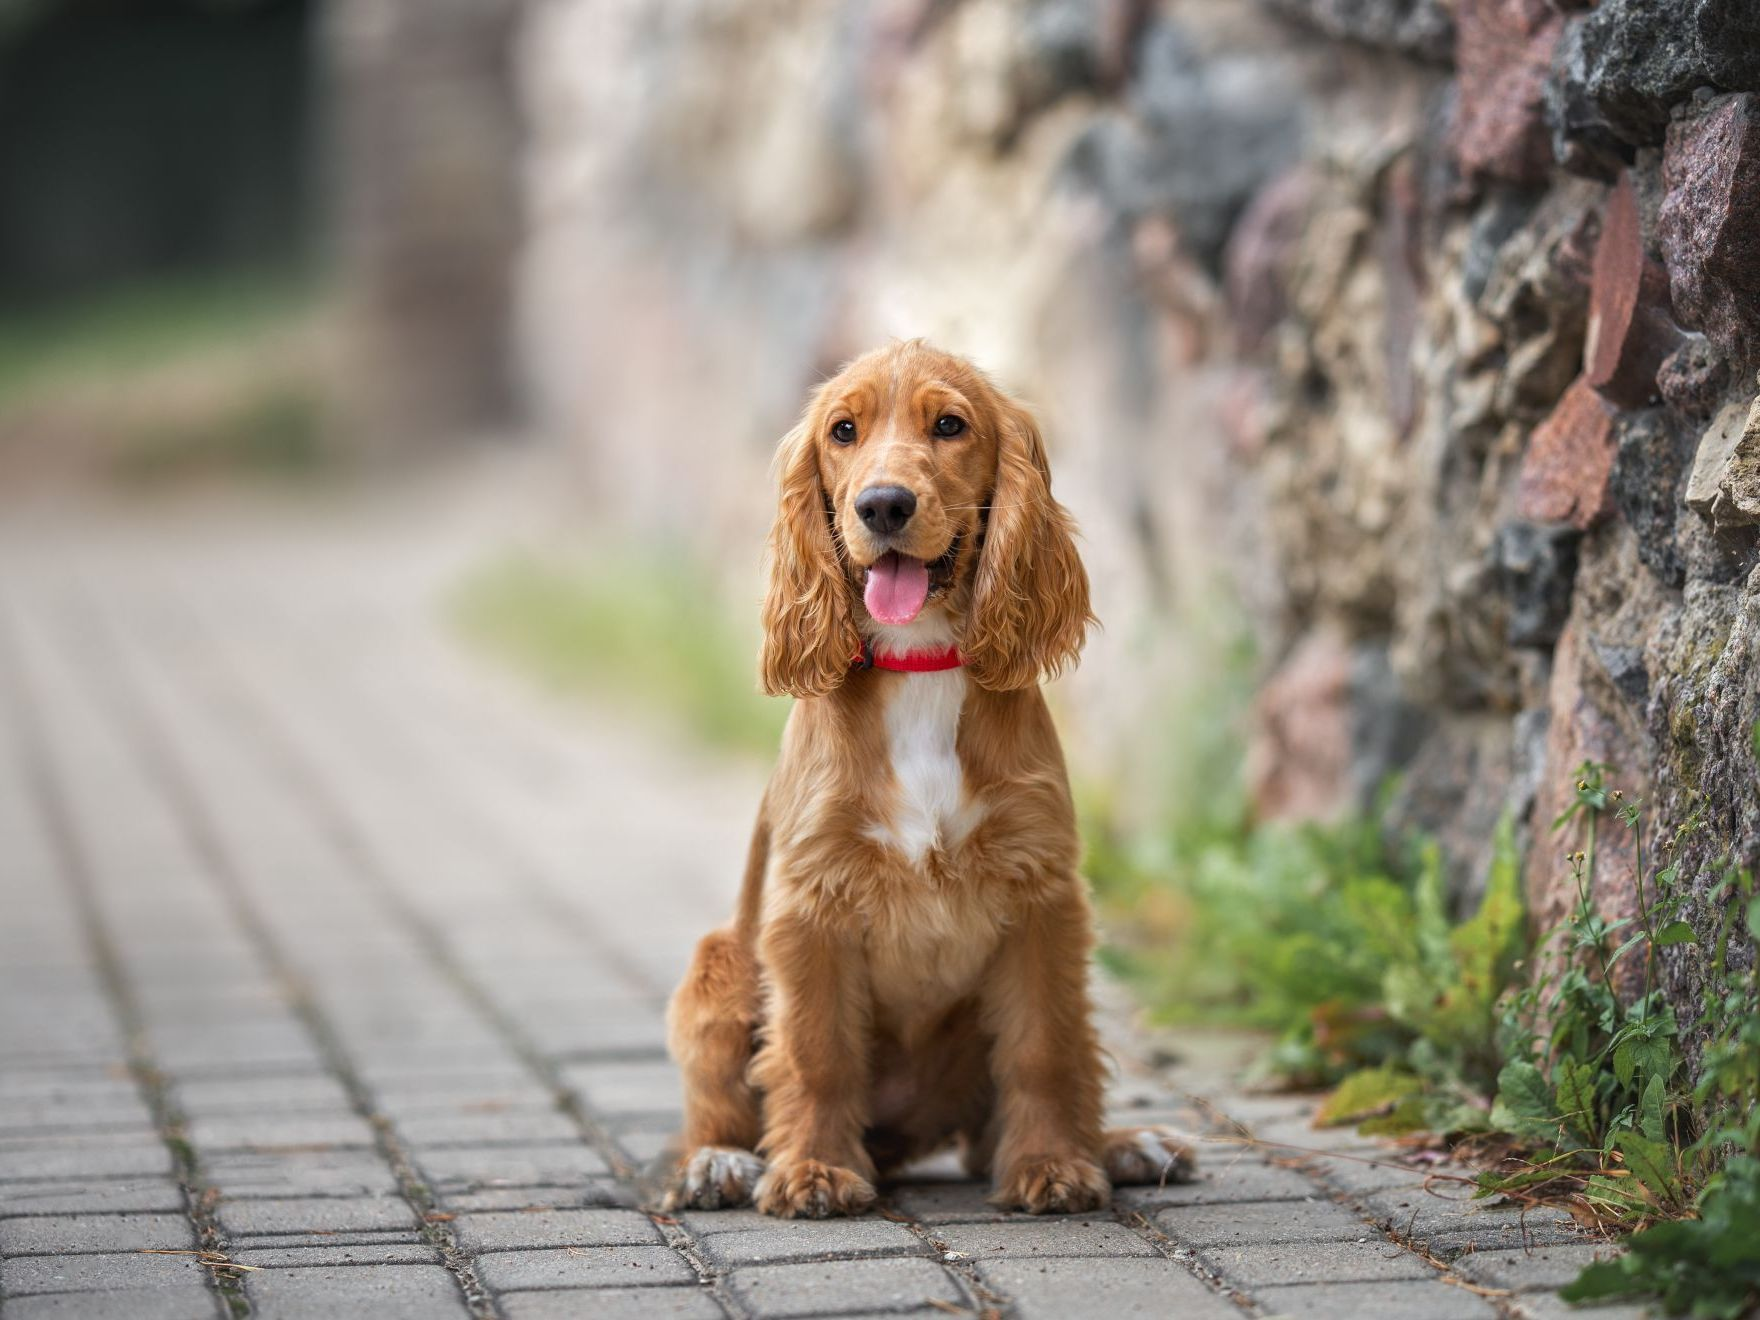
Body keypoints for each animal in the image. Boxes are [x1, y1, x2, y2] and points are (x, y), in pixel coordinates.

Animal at [661, 337, 1196, 1217]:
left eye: (950, 425)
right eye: (843, 431)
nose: (883, 506)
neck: (921, 662)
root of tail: (904, 1137)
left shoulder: (1042, 895)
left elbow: (1046, 1049)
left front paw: (1053, 1164)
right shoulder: (809, 904)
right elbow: (815, 1052)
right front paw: (812, 1170)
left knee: (1006, 1117)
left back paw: (1123, 1144)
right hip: (719, 964)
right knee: (717, 1109)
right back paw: (719, 1164)